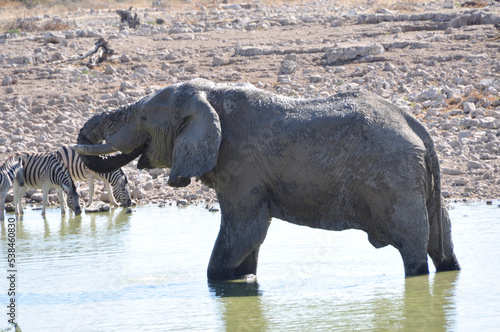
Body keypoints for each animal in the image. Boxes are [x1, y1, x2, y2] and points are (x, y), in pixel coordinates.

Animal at [73, 79, 460, 282]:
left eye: (142, 117)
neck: (210, 95)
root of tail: (418, 129)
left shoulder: (240, 164)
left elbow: (242, 232)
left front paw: (223, 284)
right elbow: (249, 240)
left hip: (395, 179)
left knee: (412, 248)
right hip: (416, 181)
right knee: (440, 241)